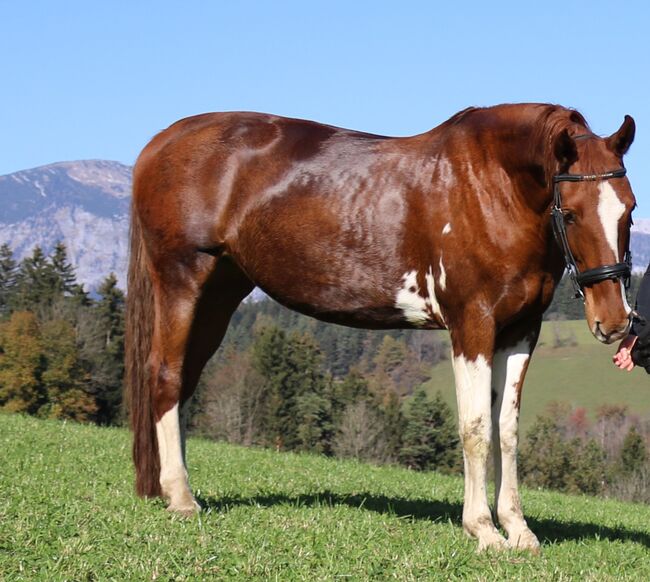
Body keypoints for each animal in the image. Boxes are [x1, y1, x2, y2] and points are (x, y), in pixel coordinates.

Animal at [125, 102, 632, 556]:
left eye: (629, 208)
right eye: (571, 212)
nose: (614, 321)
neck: (492, 186)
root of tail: (160, 142)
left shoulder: (521, 330)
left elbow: (505, 429)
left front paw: (519, 530)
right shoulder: (472, 324)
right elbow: (474, 427)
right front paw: (484, 531)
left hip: (221, 292)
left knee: (185, 381)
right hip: (183, 279)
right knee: (165, 375)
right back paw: (181, 497)